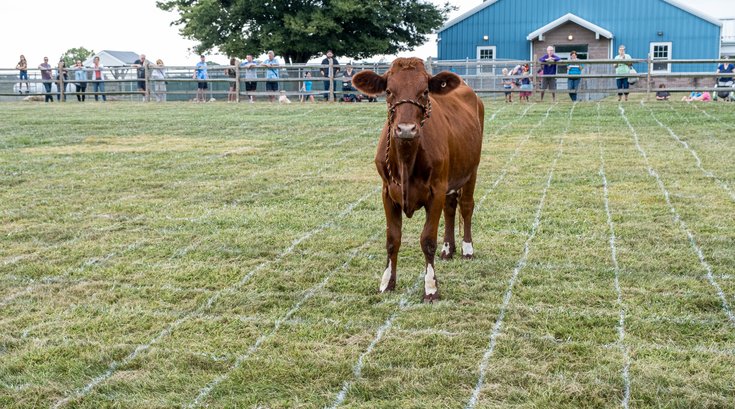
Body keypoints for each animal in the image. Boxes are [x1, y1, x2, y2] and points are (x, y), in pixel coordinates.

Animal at [352, 58, 484, 303]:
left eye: (424, 92)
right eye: (388, 91)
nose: (405, 129)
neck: (406, 160)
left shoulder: (436, 190)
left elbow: (427, 240)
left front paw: (430, 287)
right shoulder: (387, 191)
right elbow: (392, 239)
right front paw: (387, 282)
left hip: (472, 170)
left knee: (466, 206)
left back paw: (466, 249)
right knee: (451, 207)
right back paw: (448, 249)